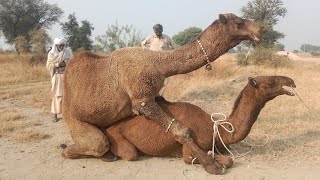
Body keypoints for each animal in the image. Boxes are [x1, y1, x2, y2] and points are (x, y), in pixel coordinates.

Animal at [61, 13, 262, 174]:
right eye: (238, 22)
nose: (259, 29)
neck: (158, 64)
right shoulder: (142, 99)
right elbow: (182, 130)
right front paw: (212, 165)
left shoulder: (154, 96)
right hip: (73, 119)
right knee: (97, 143)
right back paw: (71, 149)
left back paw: (107, 156)